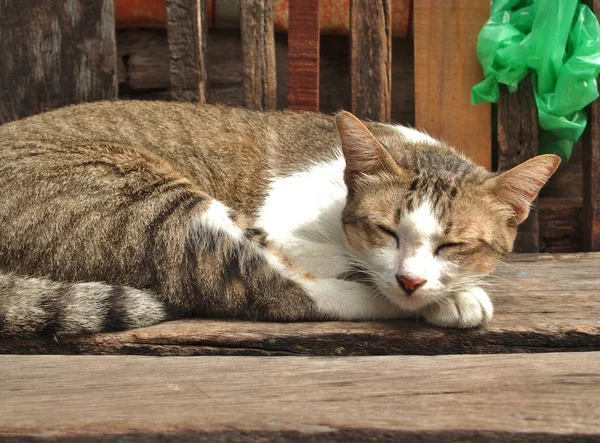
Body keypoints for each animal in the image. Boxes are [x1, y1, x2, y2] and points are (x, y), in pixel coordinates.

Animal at [0, 101, 556, 336]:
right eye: (385, 230)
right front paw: (450, 297)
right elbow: (351, 265)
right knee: (263, 289)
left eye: (453, 245)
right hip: (150, 201)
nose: (411, 281)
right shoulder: (278, 226)